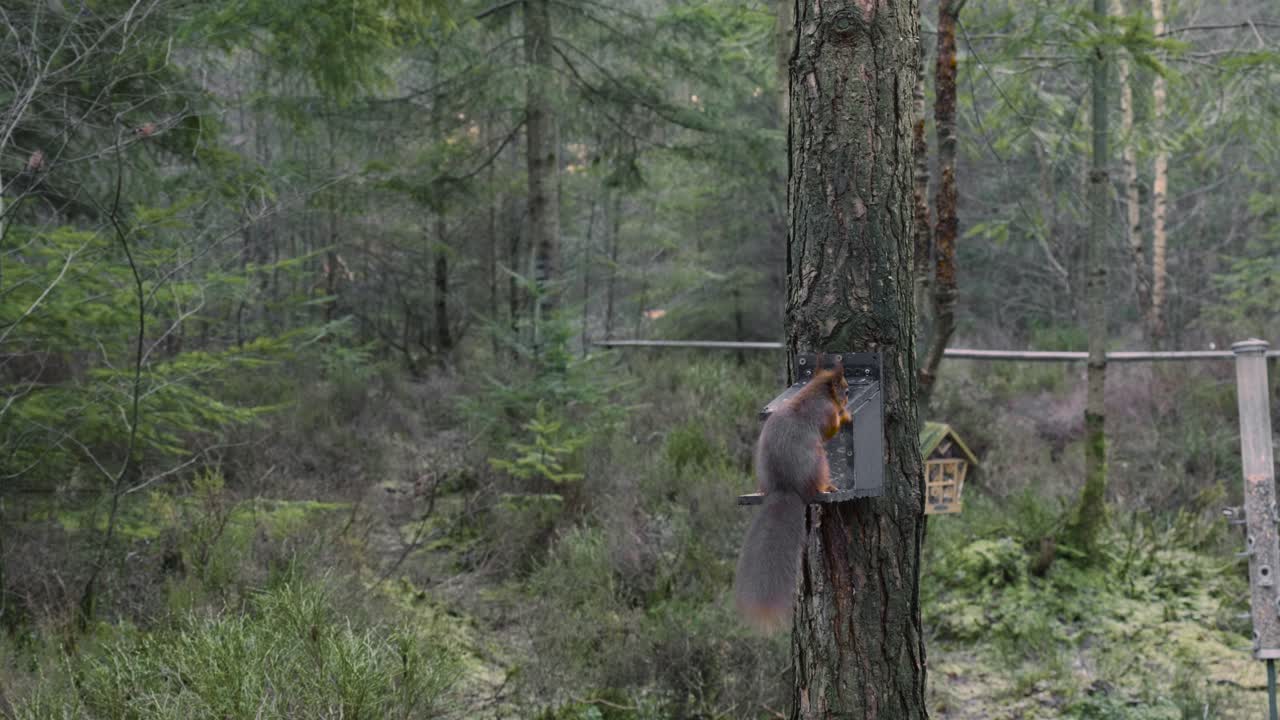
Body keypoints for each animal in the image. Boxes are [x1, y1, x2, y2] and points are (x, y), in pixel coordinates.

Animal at [734, 360, 852, 632]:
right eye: (845, 389)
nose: (848, 399)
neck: (815, 391)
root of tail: (785, 487)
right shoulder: (826, 413)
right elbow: (831, 428)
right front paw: (845, 415)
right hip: (819, 460)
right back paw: (827, 488)